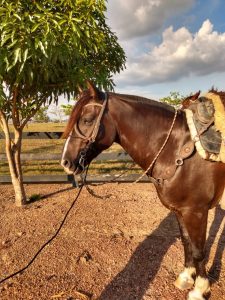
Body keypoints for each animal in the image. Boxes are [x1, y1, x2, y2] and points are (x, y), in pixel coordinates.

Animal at [60, 82, 224, 300]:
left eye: (86, 120)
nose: (66, 162)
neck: (176, 148)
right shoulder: (180, 210)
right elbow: (186, 242)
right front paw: (186, 277)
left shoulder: (196, 211)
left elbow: (198, 250)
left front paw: (200, 288)